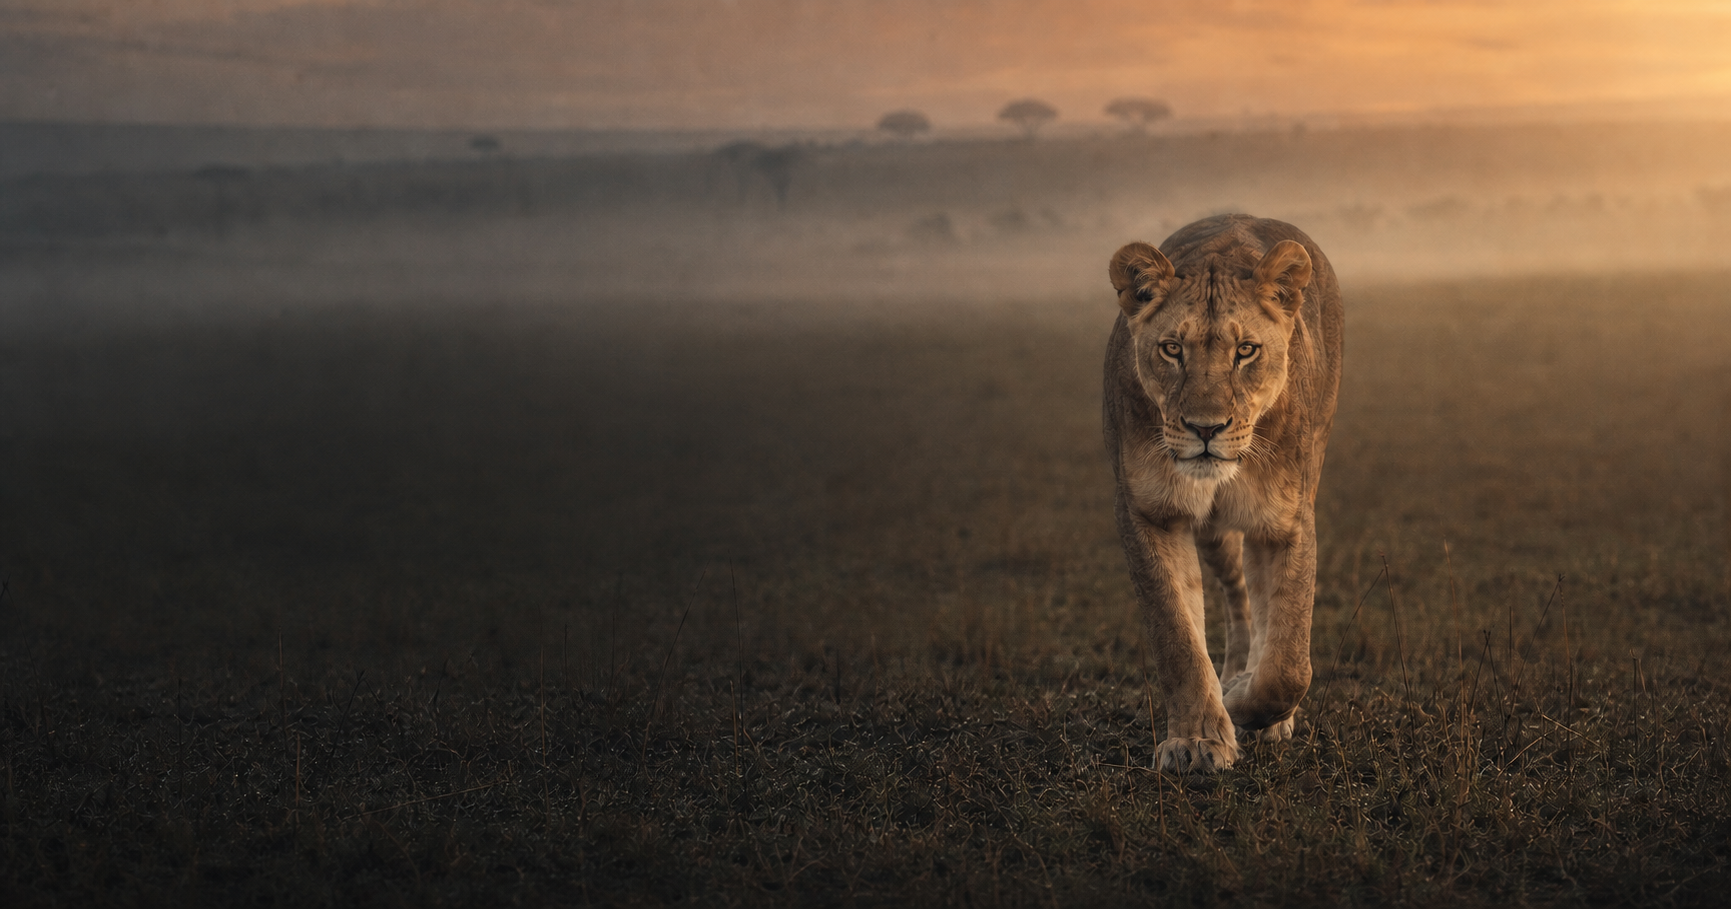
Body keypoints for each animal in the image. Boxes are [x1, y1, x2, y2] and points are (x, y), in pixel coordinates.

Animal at [1103, 214, 1344, 772]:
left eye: (1246, 351)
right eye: (1172, 349)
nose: (1205, 428)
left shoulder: (1286, 521)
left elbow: (1288, 663)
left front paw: (1244, 704)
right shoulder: (1149, 512)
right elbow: (1177, 635)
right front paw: (1196, 740)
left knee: (1261, 613)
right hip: (1213, 533)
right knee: (1238, 600)